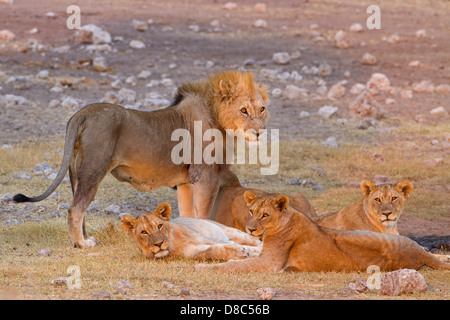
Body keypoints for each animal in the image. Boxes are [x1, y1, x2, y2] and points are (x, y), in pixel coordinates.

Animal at [120, 204, 260, 262]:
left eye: (159, 226)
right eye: (144, 232)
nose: (159, 244)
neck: (174, 244)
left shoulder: (206, 238)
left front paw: (247, 252)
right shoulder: (191, 251)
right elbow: (212, 251)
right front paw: (239, 253)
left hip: (232, 232)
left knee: (255, 241)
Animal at [194, 192, 450, 272]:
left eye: (265, 215)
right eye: (251, 211)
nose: (250, 228)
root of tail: (416, 254)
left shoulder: (270, 264)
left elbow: (233, 266)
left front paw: (204, 268)